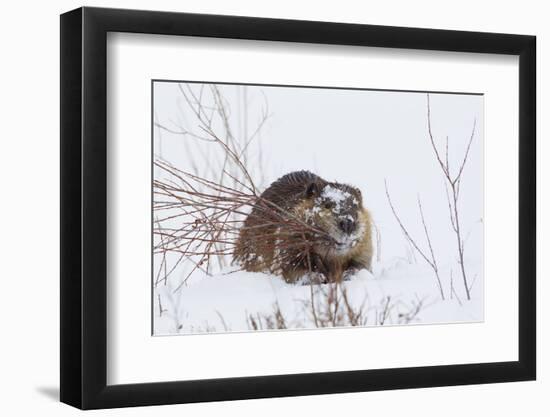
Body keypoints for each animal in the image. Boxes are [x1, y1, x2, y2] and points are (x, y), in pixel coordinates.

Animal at [233, 170, 376, 282]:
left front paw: (348, 275)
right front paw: (318, 277)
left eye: (356, 206)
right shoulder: (287, 237)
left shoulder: (365, 246)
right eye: (327, 205)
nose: (347, 223)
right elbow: (291, 268)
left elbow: (361, 265)